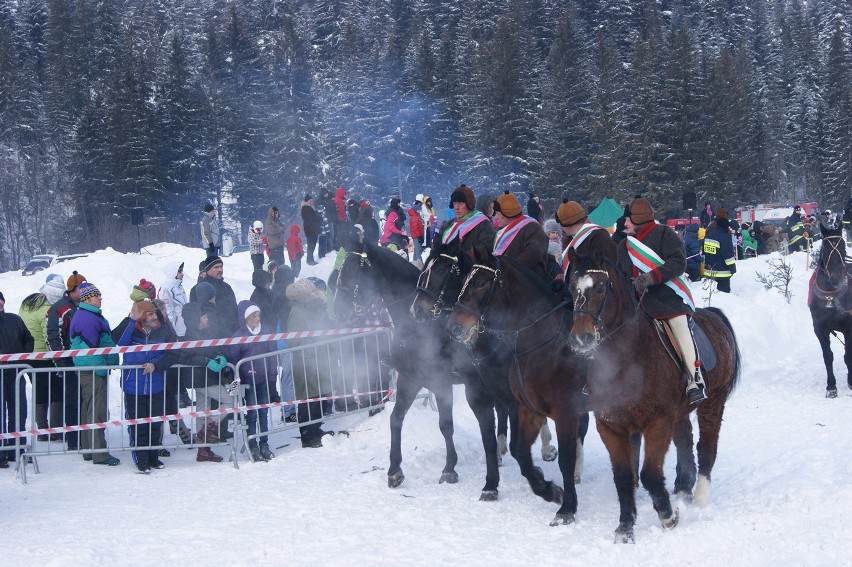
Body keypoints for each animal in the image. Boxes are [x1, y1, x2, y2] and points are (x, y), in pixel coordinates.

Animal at [332, 240, 506, 502]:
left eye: (351, 268)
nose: (337, 311)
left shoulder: (443, 383)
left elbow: (446, 425)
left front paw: (449, 469)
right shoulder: (410, 380)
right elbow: (396, 419)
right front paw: (394, 470)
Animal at [446, 251, 592, 524]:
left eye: (480, 282)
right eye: (463, 279)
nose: (453, 327)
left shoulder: (533, 406)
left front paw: (559, 497)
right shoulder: (483, 399)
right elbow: (502, 445)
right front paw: (496, 485)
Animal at [564, 240, 740, 540]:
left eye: (600, 287)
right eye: (573, 287)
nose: (580, 337)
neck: (627, 358)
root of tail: (714, 316)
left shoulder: (657, 422)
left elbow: (649, 474)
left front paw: (668, 516)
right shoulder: (611, 426)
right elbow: (624, 476)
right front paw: (625, 526)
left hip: (712, 403)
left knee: (706, 446)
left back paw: (700, 498)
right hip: (680, 412)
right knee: (685, 442)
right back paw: (683, 489)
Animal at [804, 220, 852, 398]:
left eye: (843, 246)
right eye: (825, 247)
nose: (836, 278)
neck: (832, 297)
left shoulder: (848, 326)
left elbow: (848, 354)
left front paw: (850, 381)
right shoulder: (820, 328)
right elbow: (828, 356)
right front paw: (831, 386)